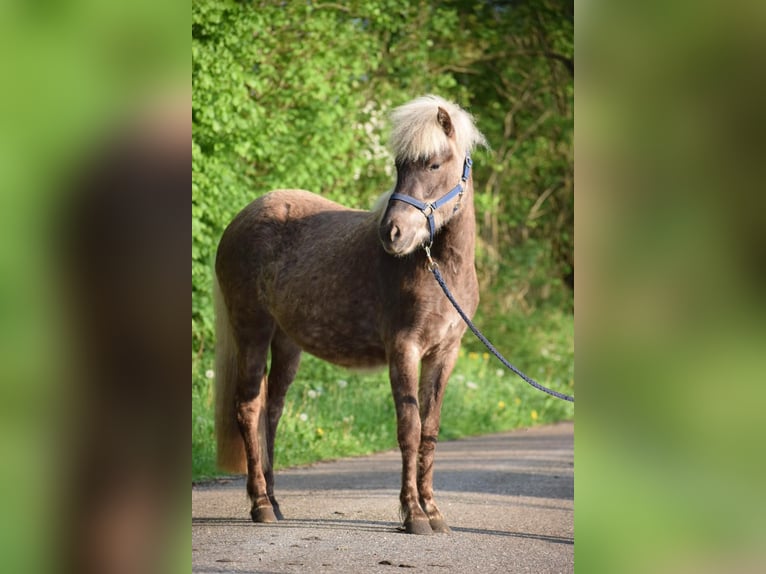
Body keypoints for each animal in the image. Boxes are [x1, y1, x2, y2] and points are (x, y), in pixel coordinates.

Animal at [213, 95, 488, 536]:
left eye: (433, 165)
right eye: (399, 165)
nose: (392, 233)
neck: (439, 268)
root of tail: (241, 219)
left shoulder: (445, 354)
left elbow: (430, 430)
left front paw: (433, 511)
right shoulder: (404, 349)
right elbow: (409, 429)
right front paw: (413, 514)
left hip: (286, 342)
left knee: (271, 411)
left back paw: (275, 500)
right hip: (251, 331)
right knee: (249, 408)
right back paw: (260, 505)